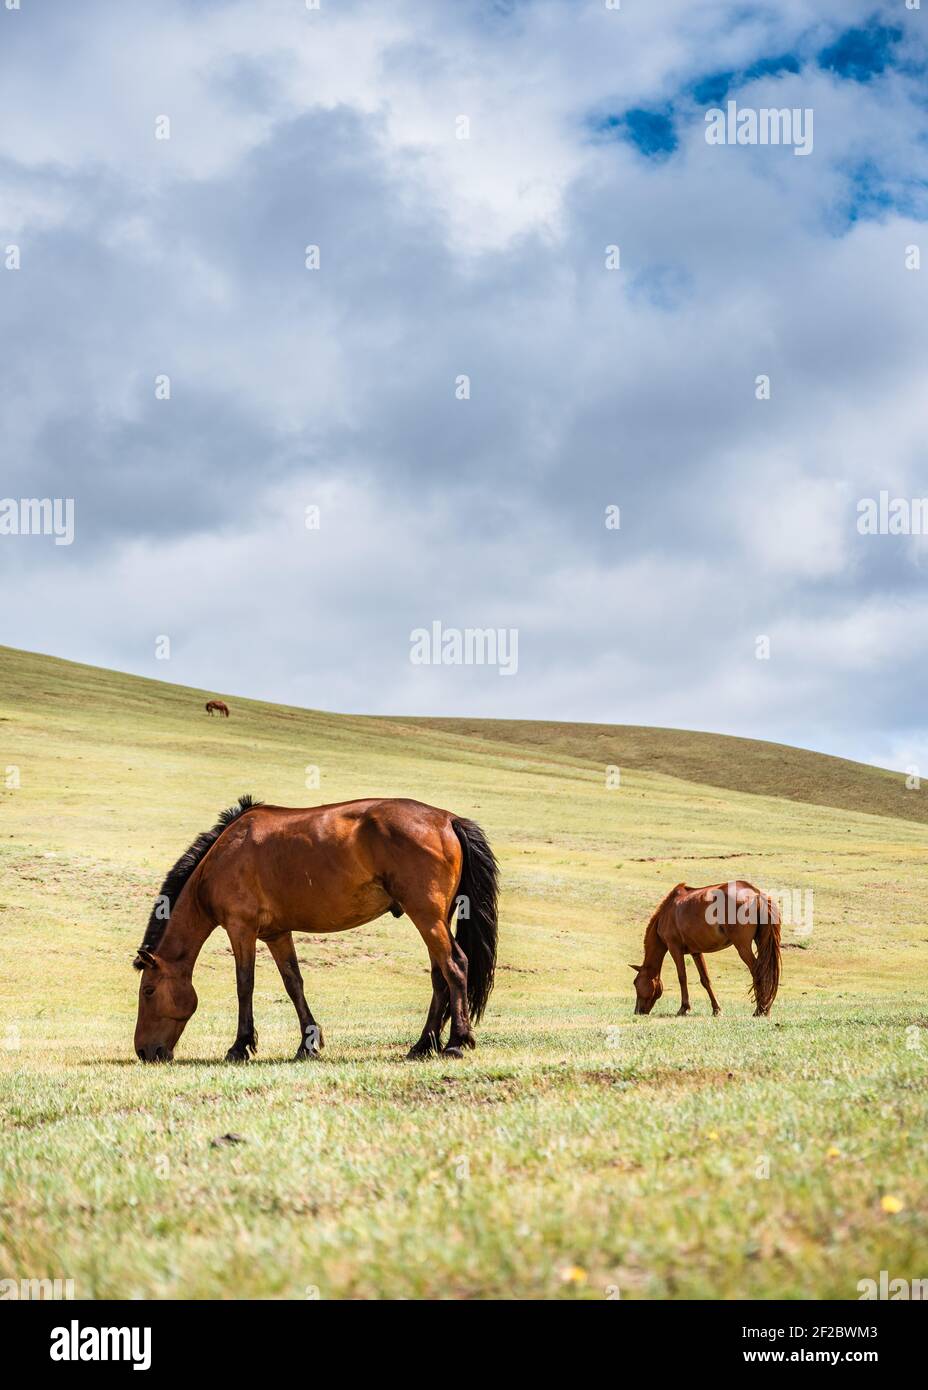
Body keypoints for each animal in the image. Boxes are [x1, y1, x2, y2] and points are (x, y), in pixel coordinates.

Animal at [131, 795, 500, 1061]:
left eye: (148, 991)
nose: (145, 1052)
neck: (223, 855)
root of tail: (448, 820)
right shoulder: (276, 934)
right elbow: (294, 983)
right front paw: (307, 1045)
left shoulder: (241, 929)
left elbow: (244, 985)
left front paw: (240, 1047)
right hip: (436, 919)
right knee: (440, 975)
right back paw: (423, 1045)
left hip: (426, 916)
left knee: (455, 966)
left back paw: (455, 1043)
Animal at [630, 884, 783, 1017]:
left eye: (636, 983)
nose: (637, 1011)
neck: (667, 913)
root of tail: (757, 894)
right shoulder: (696, 952)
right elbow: (705, 980)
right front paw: (716, 1009)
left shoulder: (674, 948)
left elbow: (682, 977)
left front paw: (684, 1008)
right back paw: (765, 1008)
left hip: (743, 947)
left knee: (758, 971)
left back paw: (760, 1009)